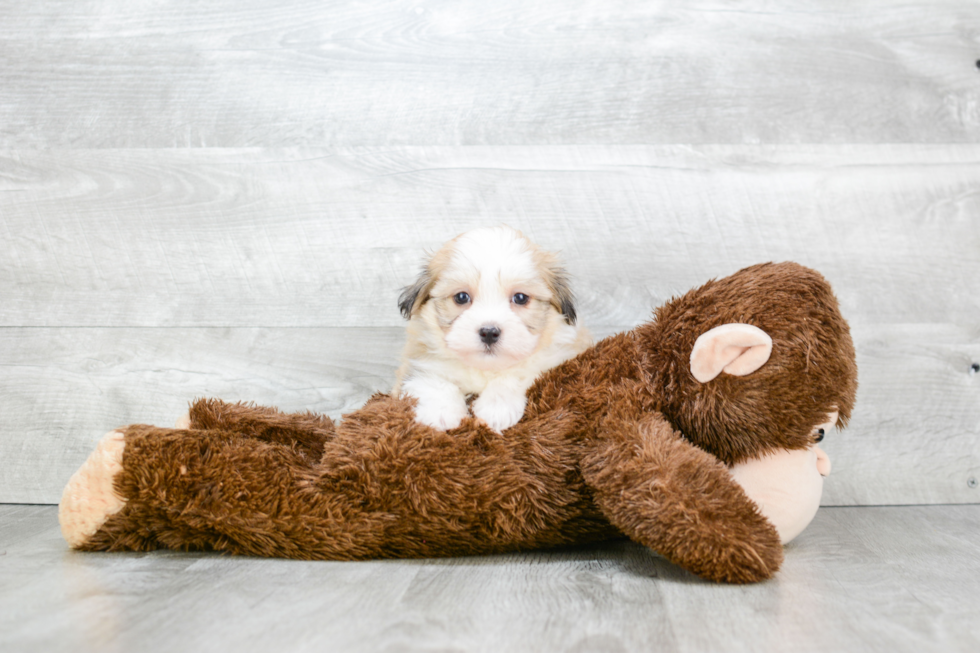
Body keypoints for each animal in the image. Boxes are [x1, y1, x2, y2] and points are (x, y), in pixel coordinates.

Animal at [392, 225, 588, 432]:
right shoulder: (417, 360)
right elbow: (433, 379)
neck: (484, 368)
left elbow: (518, 371)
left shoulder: (555, 359)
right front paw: (440, 413)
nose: (489, 332)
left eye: (520, 298)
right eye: (461, 297)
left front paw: (497, 408)